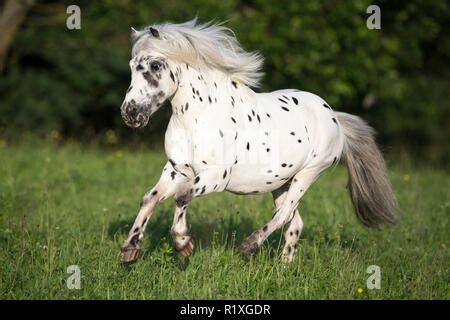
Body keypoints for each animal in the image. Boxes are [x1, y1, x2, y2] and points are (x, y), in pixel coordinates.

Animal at [119, 18, 398, 262]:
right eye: (132, 66)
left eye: (155, 66)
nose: (130, 113)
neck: (199, 117)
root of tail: (333, 116)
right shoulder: (177, 170)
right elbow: (150, 198)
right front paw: (129, 250)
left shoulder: (215, 177)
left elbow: (182, 197)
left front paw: (183, 243)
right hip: (281, 182)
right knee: (294, 223)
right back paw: (284, 268)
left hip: (308, 173)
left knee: (284, 215)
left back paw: (250, 246)